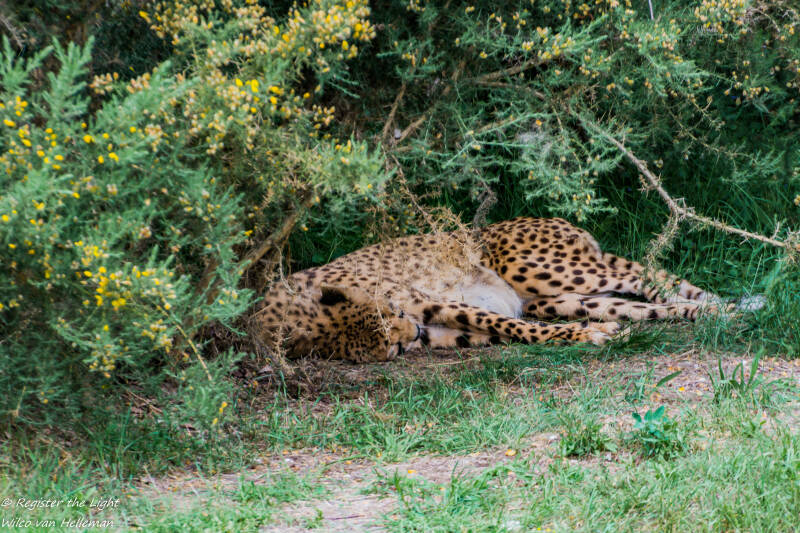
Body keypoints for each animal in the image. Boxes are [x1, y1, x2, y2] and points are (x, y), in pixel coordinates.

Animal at [253, 216, 739, 363]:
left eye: (392, 312)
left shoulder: (433, 302)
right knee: (631, 306)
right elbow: (509, 330)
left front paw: (584, 337)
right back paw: (699, 313)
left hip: (540, 271)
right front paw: (588, 336)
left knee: (647, 277)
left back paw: (721, 307)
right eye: (390, 348)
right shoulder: (445, 331)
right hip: (555, 300)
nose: (413, 335)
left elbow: (506, 324)